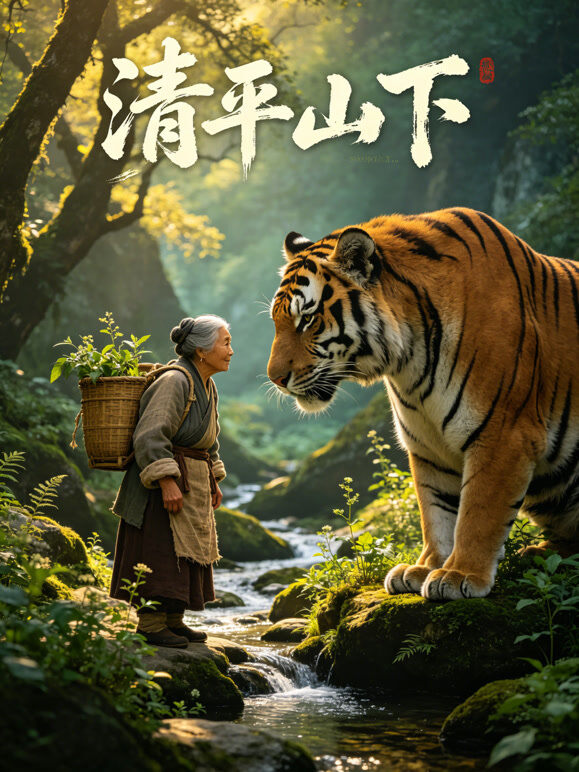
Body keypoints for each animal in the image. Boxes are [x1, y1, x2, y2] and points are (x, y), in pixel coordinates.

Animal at [267, 207, 579, 600]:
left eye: (307, 319)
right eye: (276, 320)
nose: (274, 378)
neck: (410, 360)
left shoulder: (503, 434)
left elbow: (478, 512)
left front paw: (460, 574)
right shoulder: (428, 444)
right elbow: (436, 510)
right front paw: (425, 567)